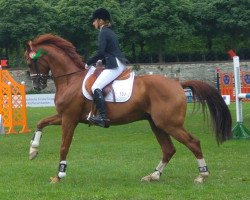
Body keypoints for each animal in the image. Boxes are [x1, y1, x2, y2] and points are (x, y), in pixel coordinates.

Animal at [25, 33, 232, 184]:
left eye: (29, 62)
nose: (37, 85)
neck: (71, 79)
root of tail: (177, 83)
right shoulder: (64, 116)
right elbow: (40, 123)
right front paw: (33, 151)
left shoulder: (69, 118)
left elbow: (64, 146)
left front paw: (59, 175)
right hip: (157, 124)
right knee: (169, 149)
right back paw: (153, 175)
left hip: (169, 124)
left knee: (193, 142)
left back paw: (202, 175)